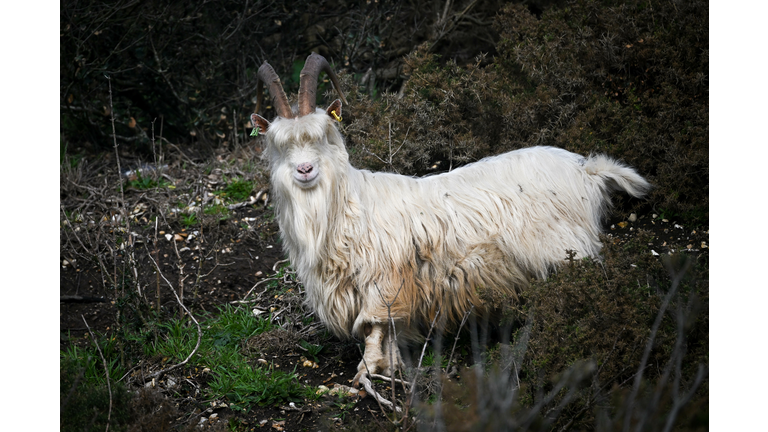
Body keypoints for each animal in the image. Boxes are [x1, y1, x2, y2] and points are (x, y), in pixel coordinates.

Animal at [249, 54, 652, 398]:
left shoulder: (384, 284)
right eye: (279, 145)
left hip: (569, 251)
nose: (304, 170)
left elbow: (374, 330)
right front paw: (391, 369)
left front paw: (367, 374)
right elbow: (389, 335)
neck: (348, 208)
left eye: (321, 136)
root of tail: (587, 170)